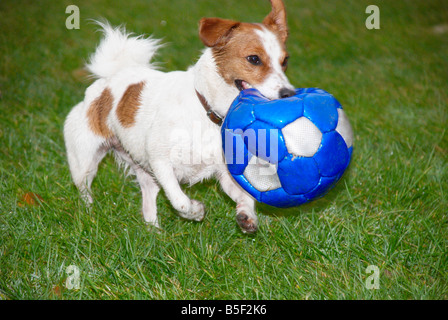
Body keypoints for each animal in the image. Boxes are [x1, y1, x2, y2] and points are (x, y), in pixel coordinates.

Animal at [63, 0, 294, 235]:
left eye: (285, 61)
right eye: (254, 59)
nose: (289, 94)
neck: (208, 112)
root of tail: (111, 77)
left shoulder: (225, 174)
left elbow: (245, 197)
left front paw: (247, 217)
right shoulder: (161, 163)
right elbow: (178, 200)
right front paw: (195, 211)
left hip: (145, 173)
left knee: (148, 203)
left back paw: (154, 233)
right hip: (84, 162)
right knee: (85, 189)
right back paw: (89, 214)